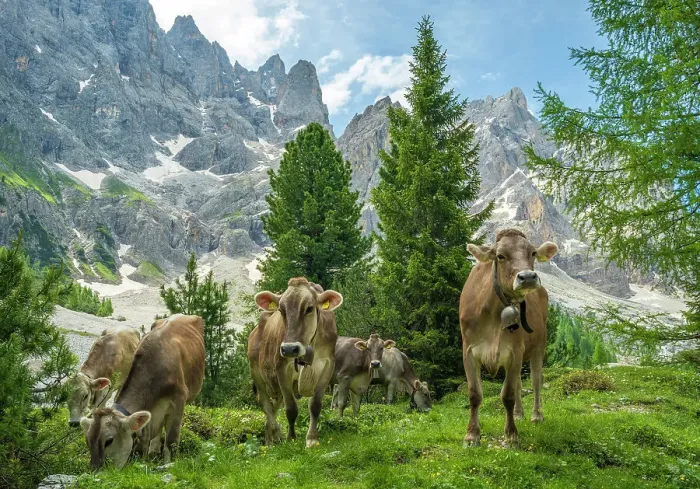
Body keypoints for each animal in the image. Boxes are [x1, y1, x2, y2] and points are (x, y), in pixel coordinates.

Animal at [80, 315, 205, 470]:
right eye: (87, 440)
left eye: (109, 441)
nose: (95, 470)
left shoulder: (179, 399)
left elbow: (171, 440)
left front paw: (168, 464)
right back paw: (154, 451)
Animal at [248, 277, 342, 448]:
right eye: (281, 310)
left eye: (309, 308)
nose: (290, 348)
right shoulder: (281, 368)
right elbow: (291, 408)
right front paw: (291, 439)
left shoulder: (328, 365)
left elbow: (315, 405)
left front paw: (312, 439)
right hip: (256, 374)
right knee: (266, 406)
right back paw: (272, 439)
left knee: (273, 407)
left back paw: (273, 437)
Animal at [460, 228, 558, 447]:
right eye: (500, 256)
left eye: (532, 253)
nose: (528, 277)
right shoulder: (468, 351)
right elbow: (474, 394)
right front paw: (472, 435)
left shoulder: (515, 351)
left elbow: (508, 395)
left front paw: (511, 435)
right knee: (521, 383)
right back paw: (519, 414)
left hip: (539, 347)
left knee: (536, 381)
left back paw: (536, 415)